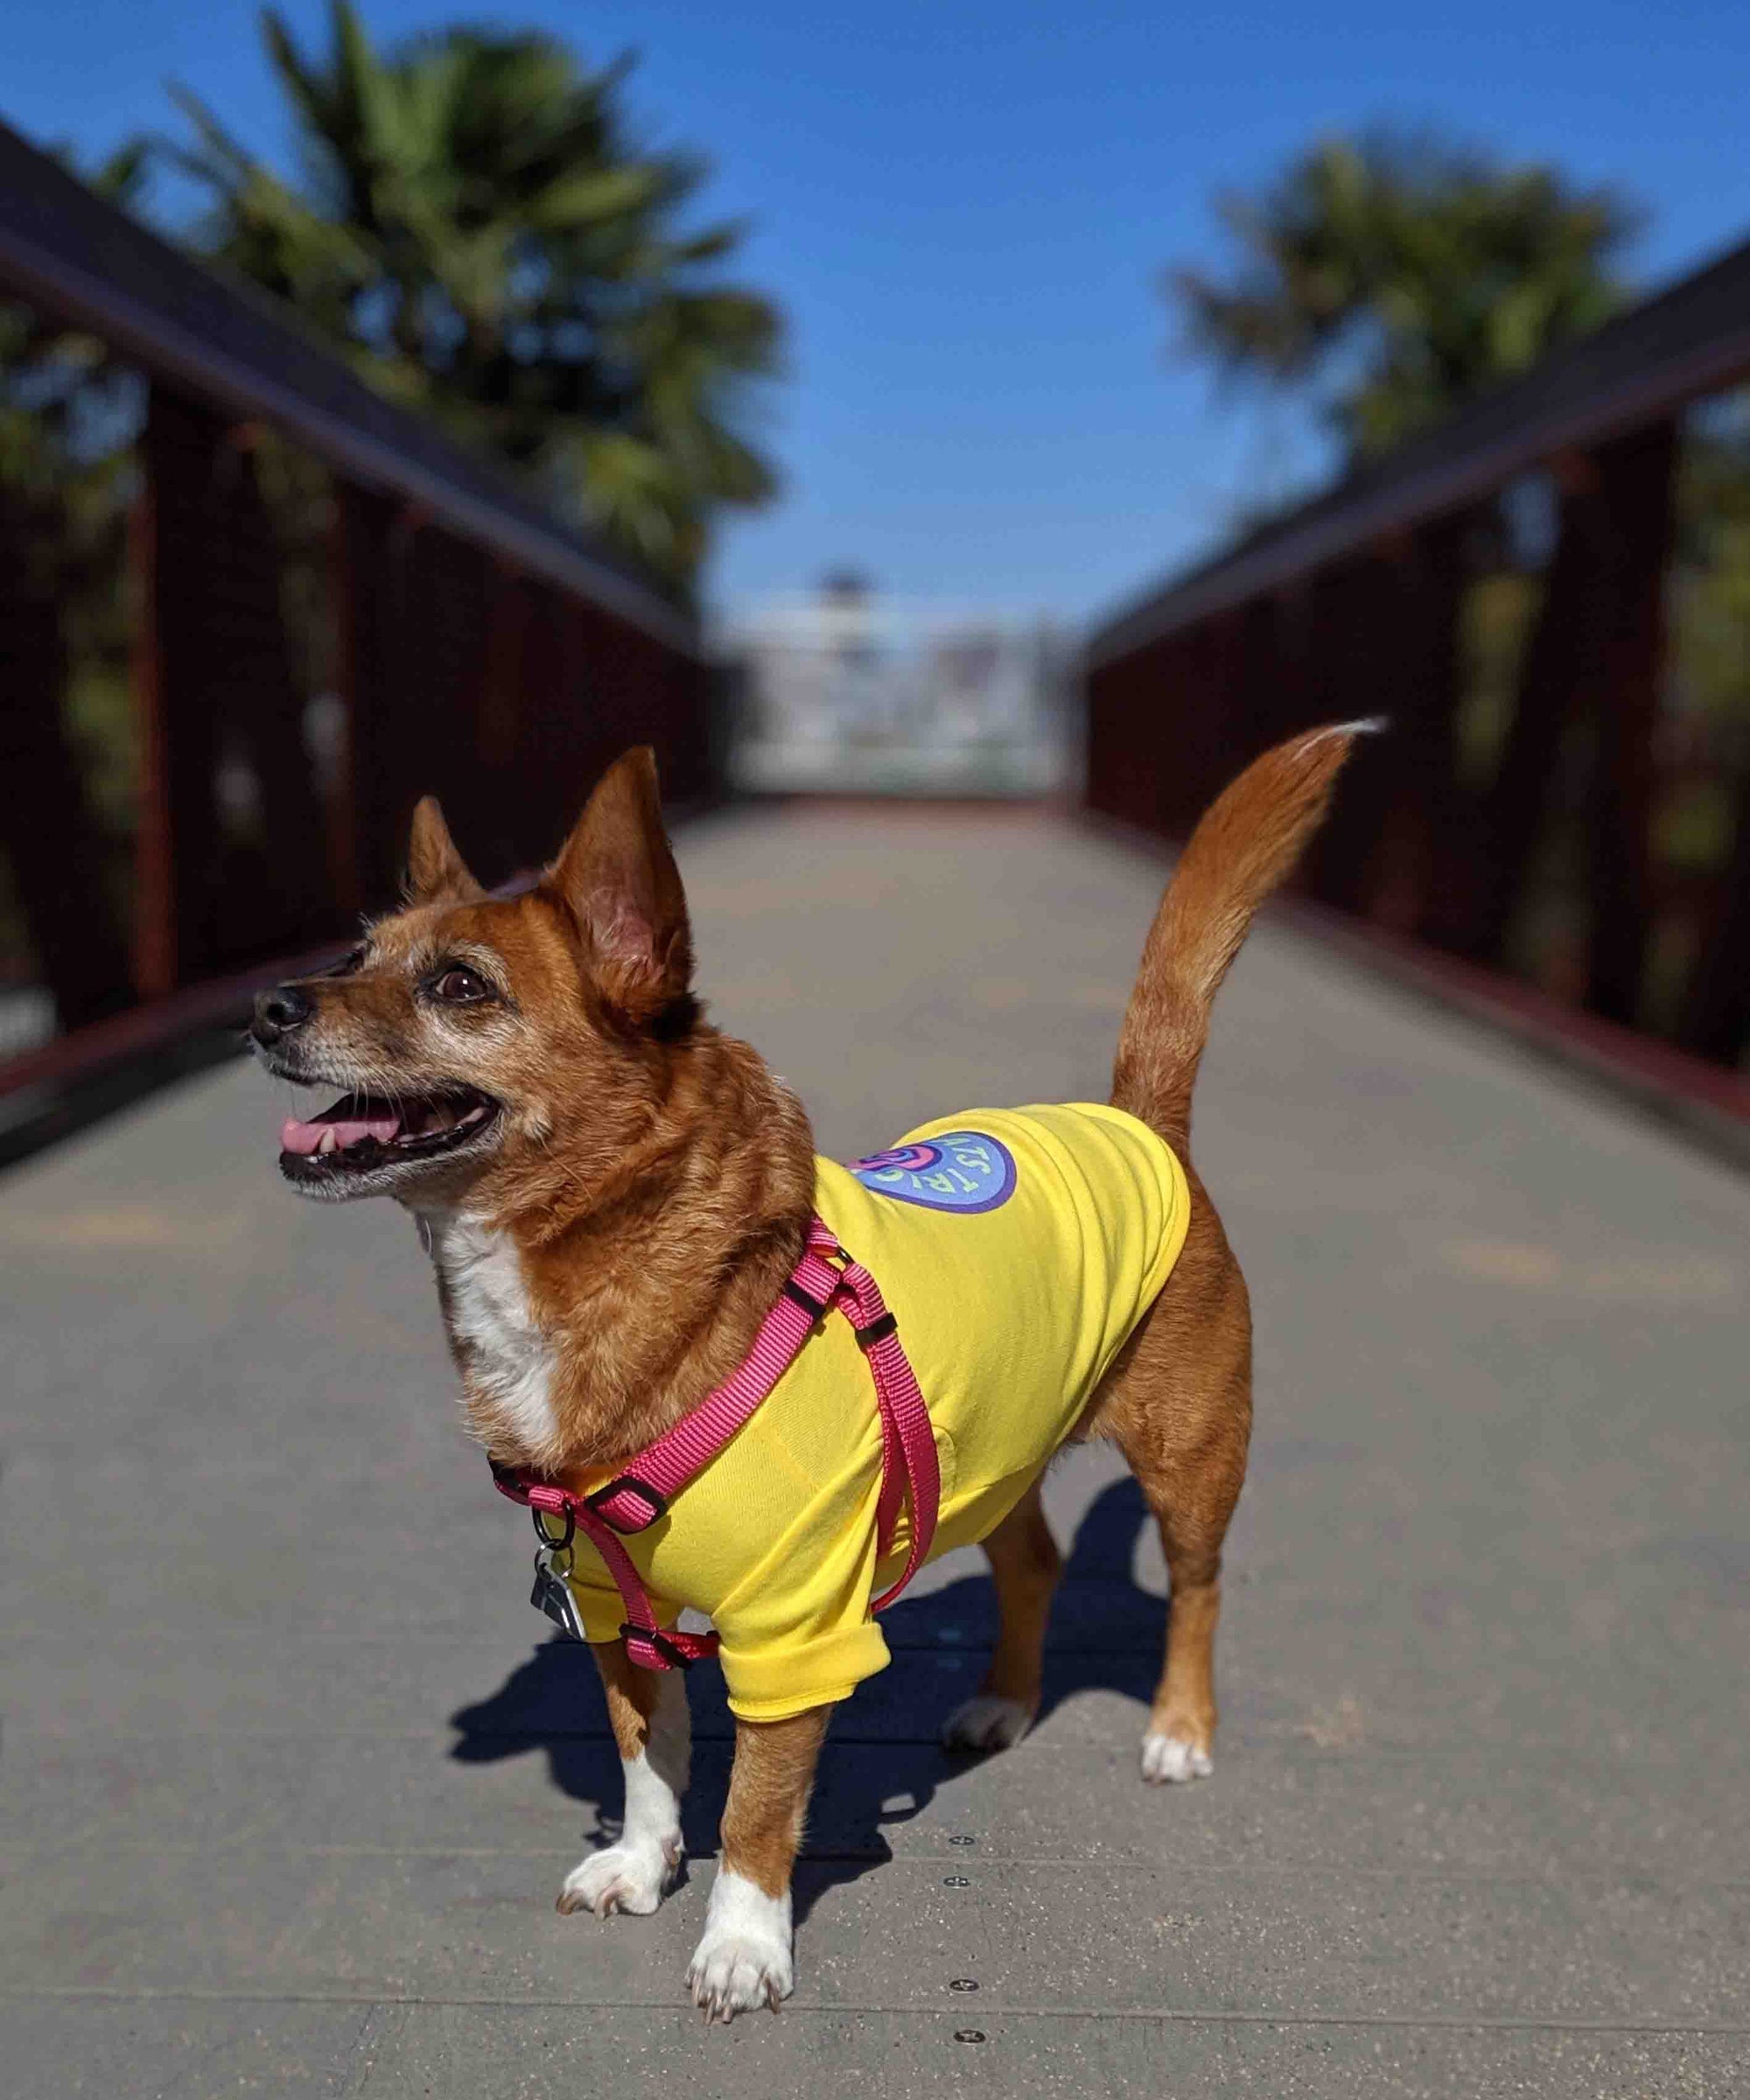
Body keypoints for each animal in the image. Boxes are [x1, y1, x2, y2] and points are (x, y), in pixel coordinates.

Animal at [248, 718, 1361, 2016]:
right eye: (358, 951)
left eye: (459, 987)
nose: (268, 1006)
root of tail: (1143, 1122)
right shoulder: (613, 1611)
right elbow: (649, 1752)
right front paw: (641, 1863)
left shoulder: (793, 1632)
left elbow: (755, 1804)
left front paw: (742, 1940)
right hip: (993, 1459)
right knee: (1032, 1565)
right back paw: (1005, 1702)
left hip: (1190, 1464)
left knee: (1197, 1590)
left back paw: (1179, 1730)